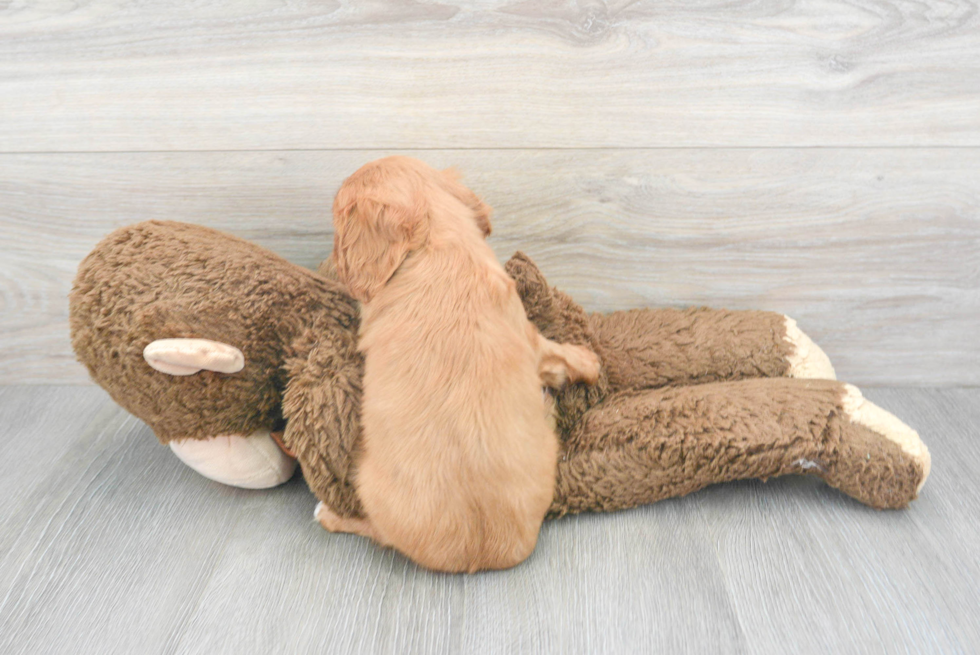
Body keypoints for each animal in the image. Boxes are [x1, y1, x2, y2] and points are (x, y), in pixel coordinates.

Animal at [322, 156, 596, 572]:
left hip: (366, 481)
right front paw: (589, 360)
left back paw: (328, 514)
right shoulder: (526, 331)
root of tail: (480, 556)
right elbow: (555, 353)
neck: (438, 246)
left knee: (374, 531)